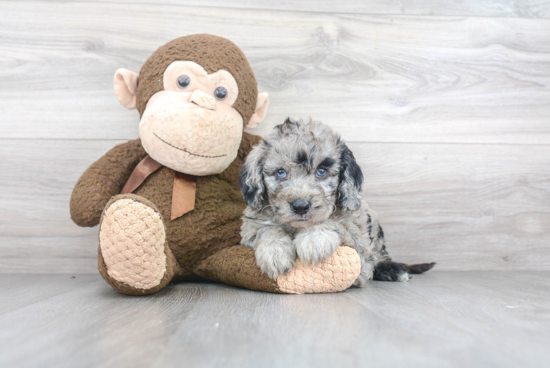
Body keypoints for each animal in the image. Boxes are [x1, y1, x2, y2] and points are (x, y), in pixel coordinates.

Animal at [240, 118, 436, 284]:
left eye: (321, 171)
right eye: (280, 173)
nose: (300, 206)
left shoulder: (358, 240)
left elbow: (335, 223)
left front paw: (314, 239)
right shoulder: (249, 228)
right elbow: (265, 228)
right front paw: (274, 251)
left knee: (380, 255)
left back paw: (393, 269)